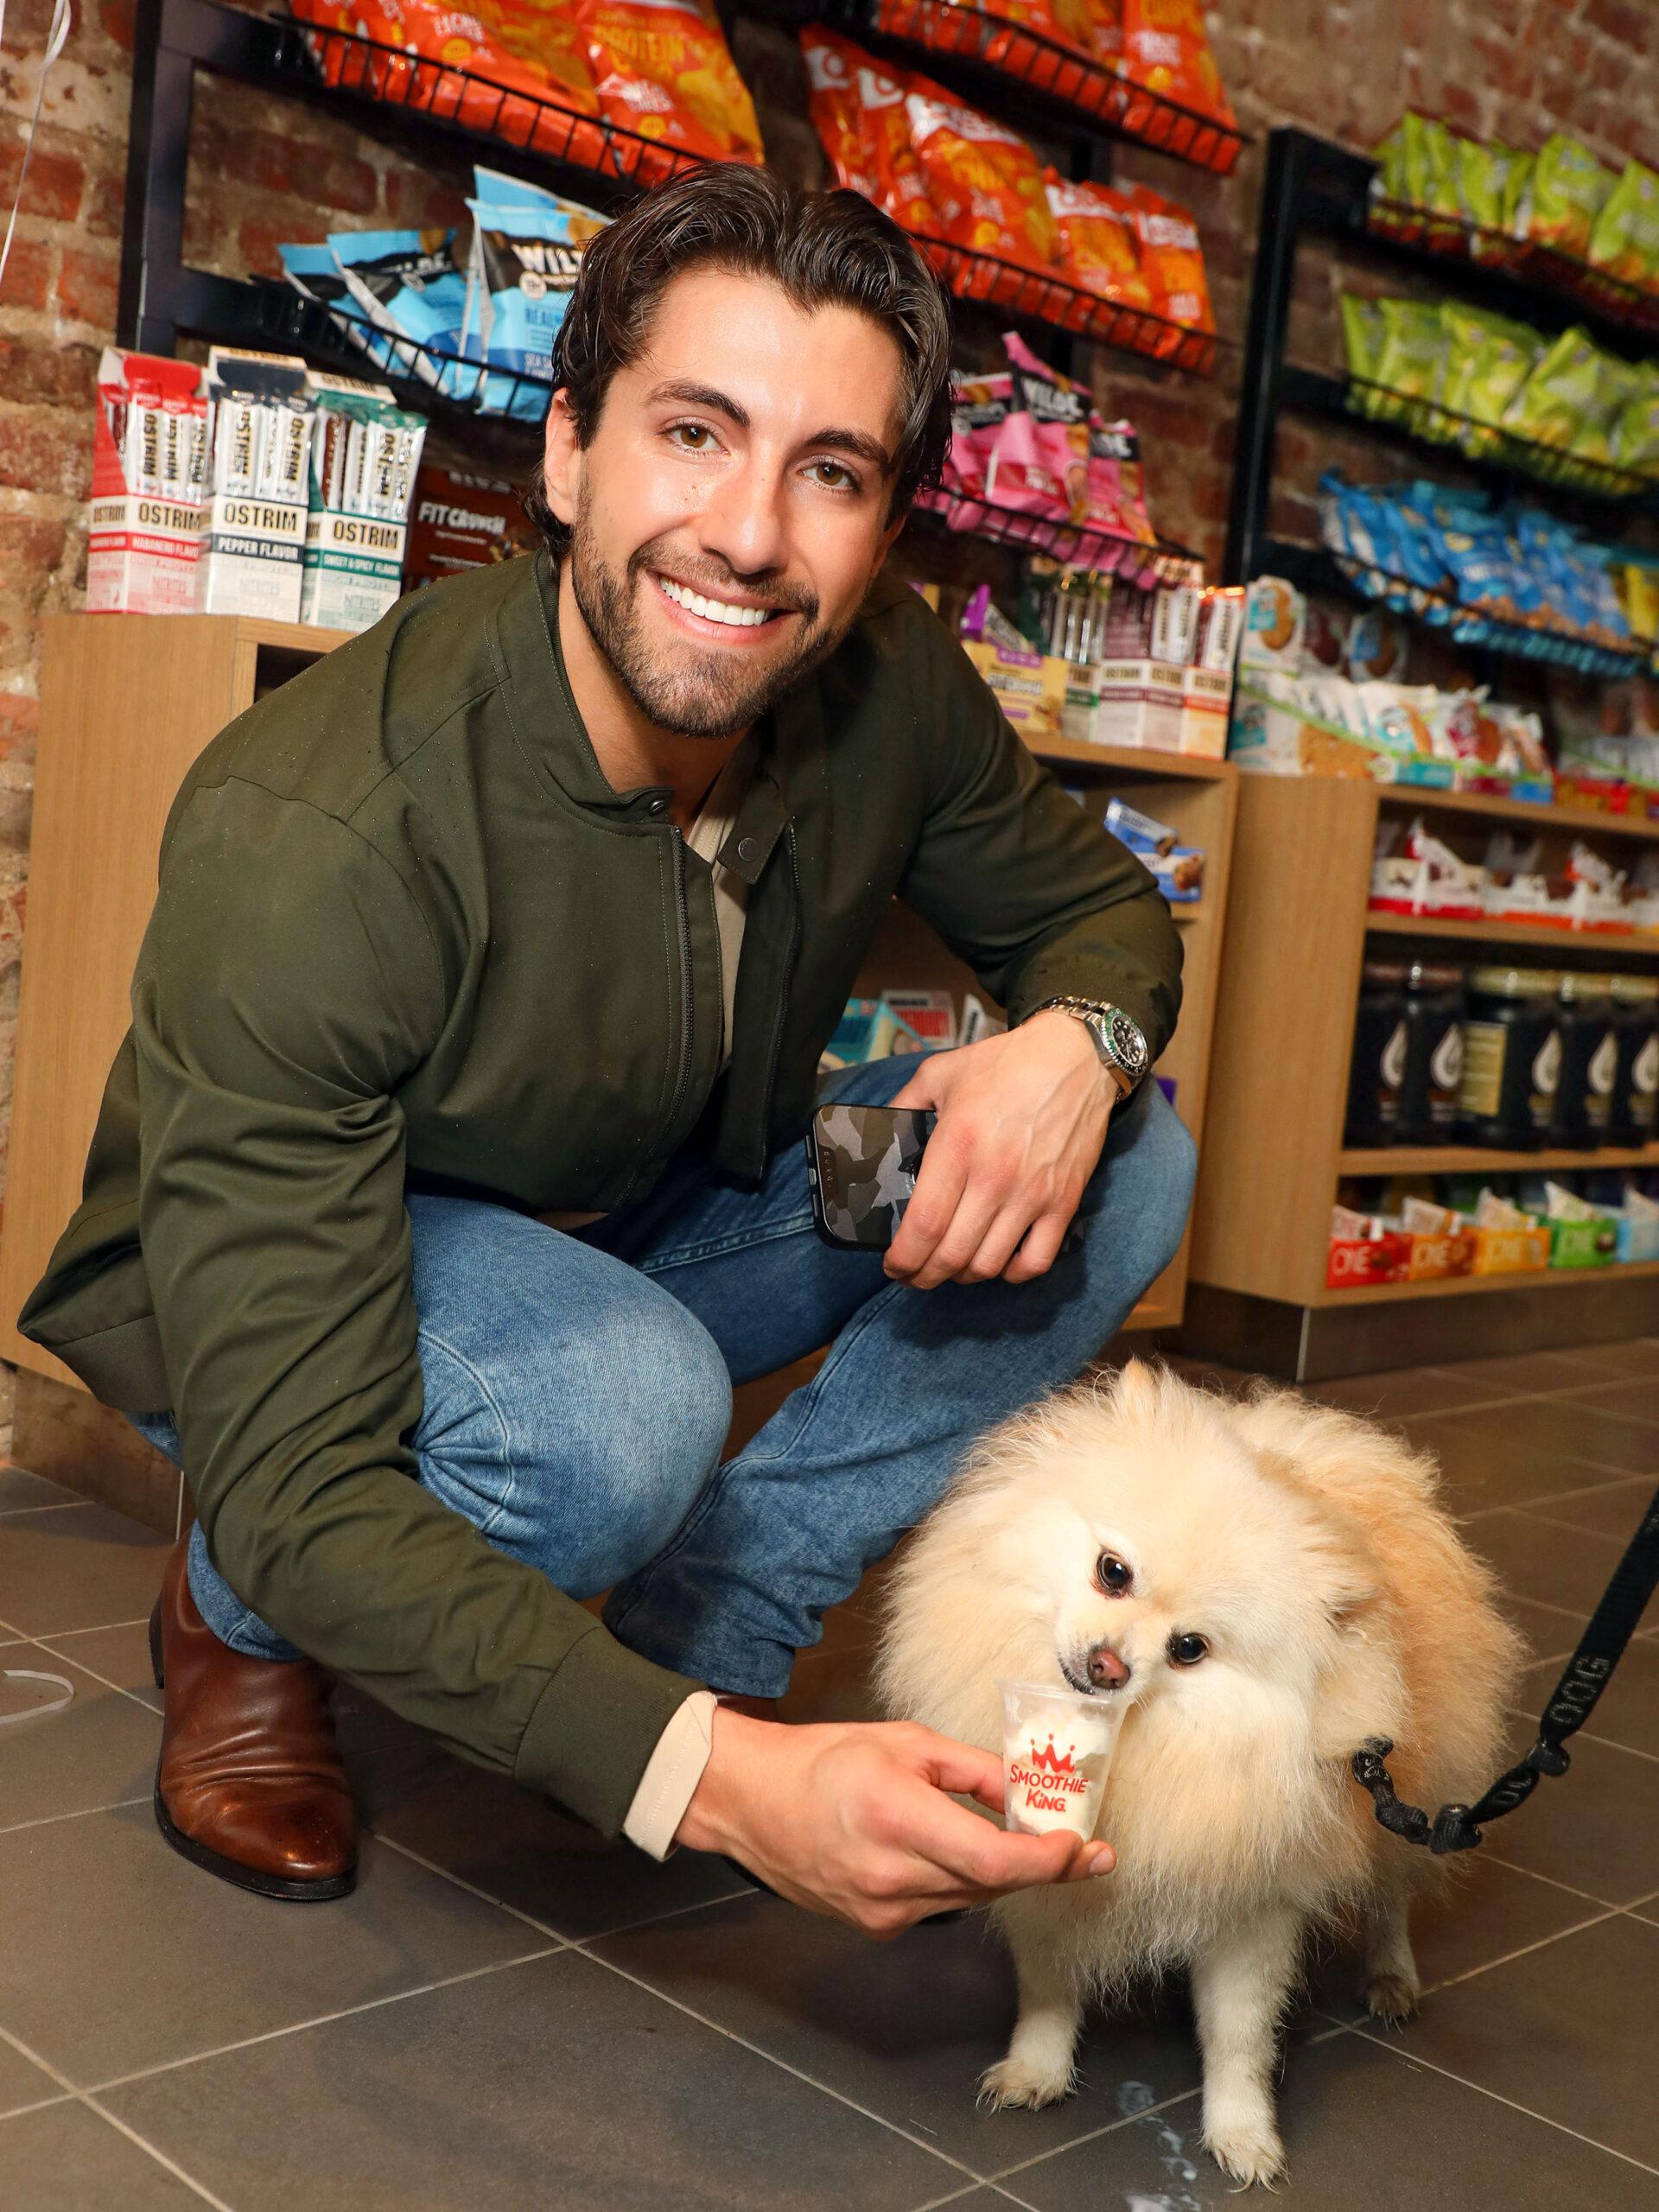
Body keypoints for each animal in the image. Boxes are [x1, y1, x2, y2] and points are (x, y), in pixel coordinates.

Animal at [875, 1353, 1530, 2185]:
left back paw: (1391, 1977)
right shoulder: (1048, 1890)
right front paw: (1036, 2070)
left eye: (1191, 1648)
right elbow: (1047, 1989)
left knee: (1390, 1897)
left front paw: (1243, 2133)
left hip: (1406, 1793)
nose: (1109, 1667)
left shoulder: (1253, 1907)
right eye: (1112, 1571)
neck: (1147, 1746)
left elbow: (1239, 2037)